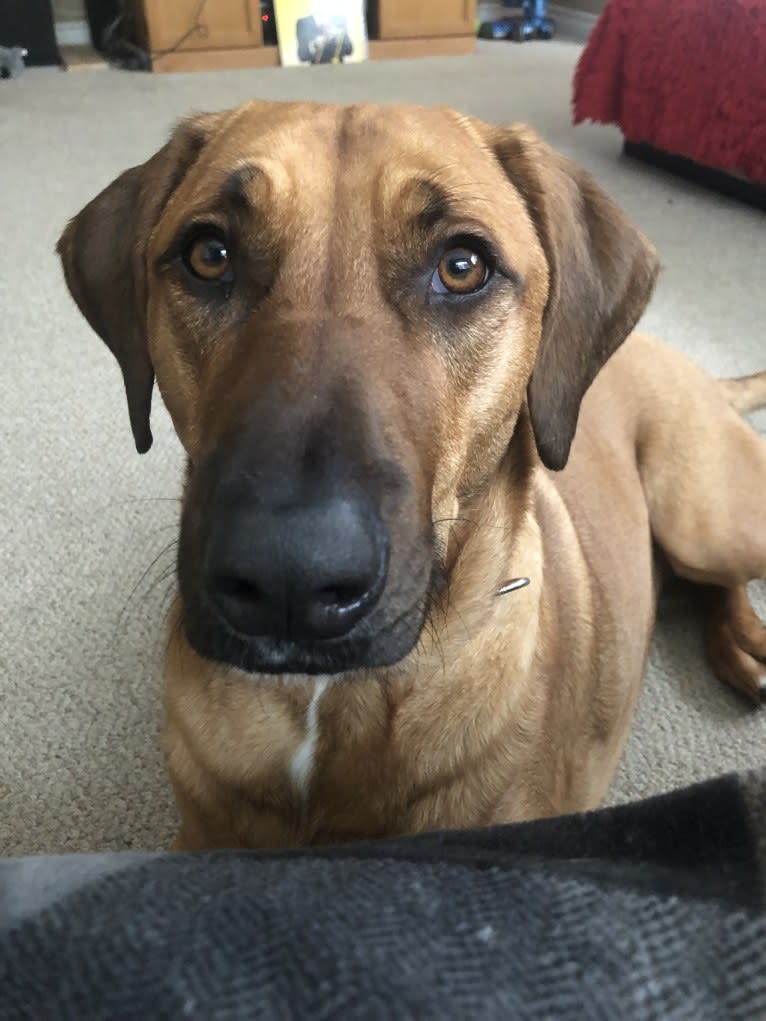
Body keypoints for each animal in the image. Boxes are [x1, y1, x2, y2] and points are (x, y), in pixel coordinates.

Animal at [60, 99, 766, 849]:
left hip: (706, 522)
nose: (287, 576)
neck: (329, 702)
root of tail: (693, 368)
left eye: (461, 266)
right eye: (208, 255)